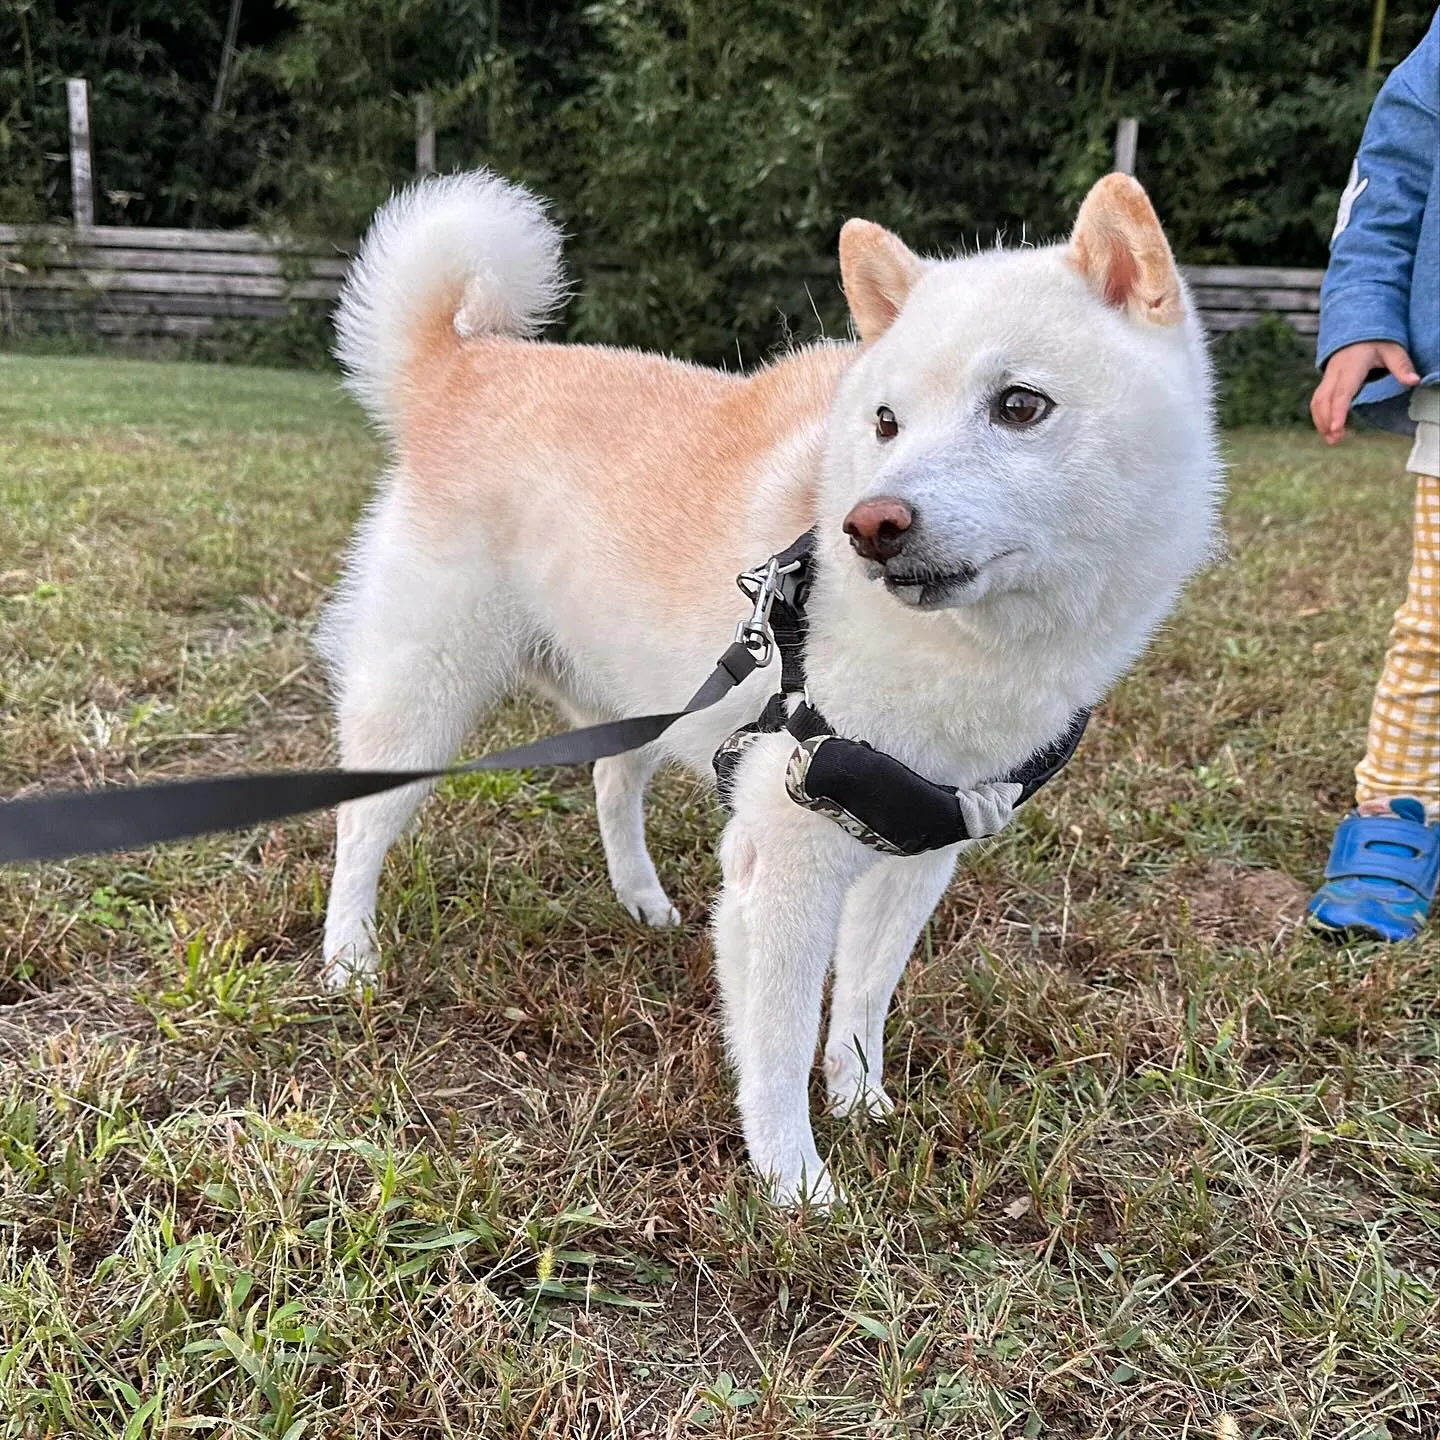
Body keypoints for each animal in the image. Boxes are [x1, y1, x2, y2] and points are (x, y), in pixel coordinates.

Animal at [321, 168, 1221, 1203]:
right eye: (885, 422)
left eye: (1021, 406)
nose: (870, 525)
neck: (968, 662)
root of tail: (462, 364)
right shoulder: (784, 861)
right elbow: (780, 1039)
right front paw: (795, 1183)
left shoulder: (921, 851)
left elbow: (862, 1001)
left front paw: (862, 1101)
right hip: (421, 697)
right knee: (358, 830)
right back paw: (348, 960)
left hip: (635, 699)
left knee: (610, 782)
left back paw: (640, 900)